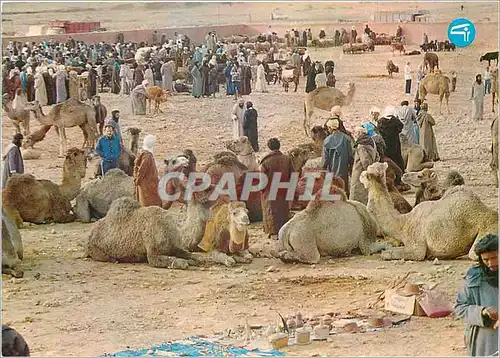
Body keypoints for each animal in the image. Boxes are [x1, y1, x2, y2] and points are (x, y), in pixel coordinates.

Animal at [360, 162, 496, 260]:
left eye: (367, 172)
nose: (360, 174)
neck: (403, 223)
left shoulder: (416, 245)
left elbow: (389, 254)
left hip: (488, 229)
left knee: (474, 254)